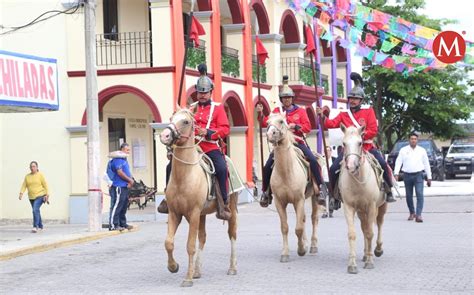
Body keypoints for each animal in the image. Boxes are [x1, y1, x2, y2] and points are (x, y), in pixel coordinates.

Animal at [159, 107, 239, 288]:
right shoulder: (174, 213)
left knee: (232, 234)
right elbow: (168, 243)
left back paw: (232, 267)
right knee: (202, 238)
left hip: (230, 209)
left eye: (186, 121)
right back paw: (196, 270)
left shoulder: (194, 213)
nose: (164, 136)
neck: (184, 176)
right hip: (202, 215)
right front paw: (173, 266)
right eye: (171, 118)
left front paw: (187, 278)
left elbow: (190, 245)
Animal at [266, 114, 318, 264]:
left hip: (315, 197)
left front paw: (301, 250)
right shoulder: (279, 202)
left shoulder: (299, 200)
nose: (270, 134)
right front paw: (285, 253)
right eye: (267, 122)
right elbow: (285, 228)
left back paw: (312, 246)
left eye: (281, 121)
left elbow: (298, 228)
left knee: (313, 218)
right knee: (304, 218)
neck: (286, 172)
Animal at [338, 124, 386, 276]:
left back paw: (377, 250)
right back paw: (365, 254)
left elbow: (371, 233)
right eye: (344, 143)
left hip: (381, 207)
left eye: (360, 143)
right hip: (361, 211)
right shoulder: (349, 207)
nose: (351, 166)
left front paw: (370, 262)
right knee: (364, 228)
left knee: (379, 224)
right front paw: (352, 264)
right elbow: (353, 234)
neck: (358, 181)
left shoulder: (371, 206)